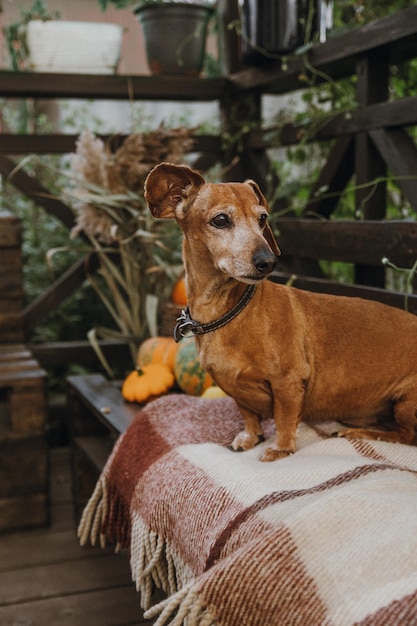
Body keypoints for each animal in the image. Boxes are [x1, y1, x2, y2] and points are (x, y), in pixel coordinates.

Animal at [145, 163, 416, 460]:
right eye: (220, 220)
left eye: (262, 218)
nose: (268, 262)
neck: (230, 311)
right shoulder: (237, 391)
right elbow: (249, 416)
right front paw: (251, 437)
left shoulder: (288, 382)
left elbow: (285, 420)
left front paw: (281, 449)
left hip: (406, 401)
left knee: (406, 436)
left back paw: (361, 433)